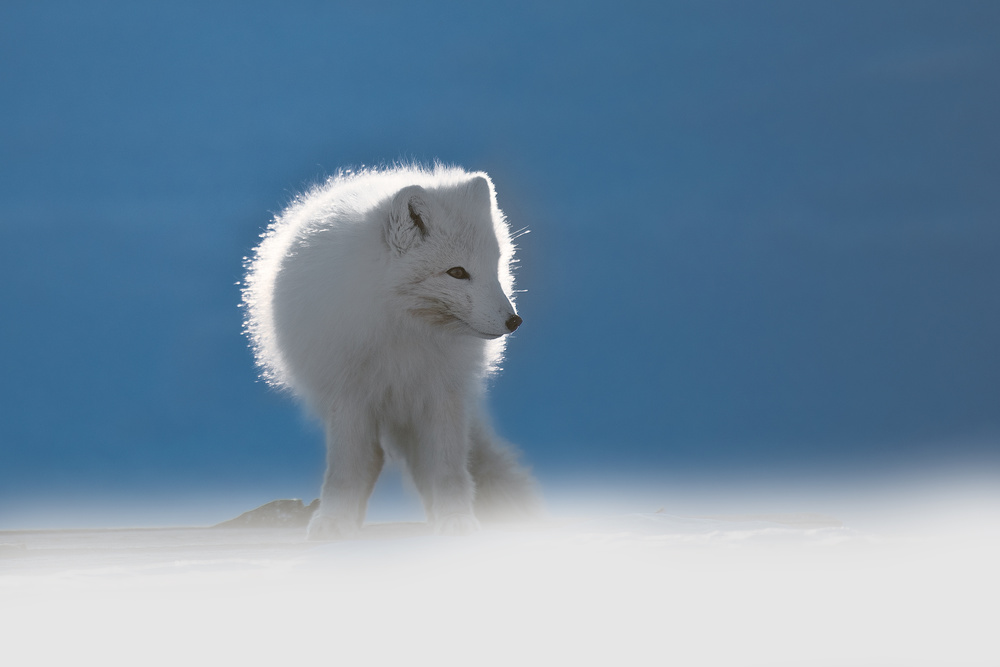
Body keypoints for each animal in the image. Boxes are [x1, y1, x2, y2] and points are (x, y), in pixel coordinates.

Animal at [243, 164, 540, 540]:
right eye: (457, 272)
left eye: (496, 267)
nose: (514, 321)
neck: (404, 331)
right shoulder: (350, 393)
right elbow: (346, 471)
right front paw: (335, 519)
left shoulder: (443, 393)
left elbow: (447, 468)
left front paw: (455, 518)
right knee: (371, 459)